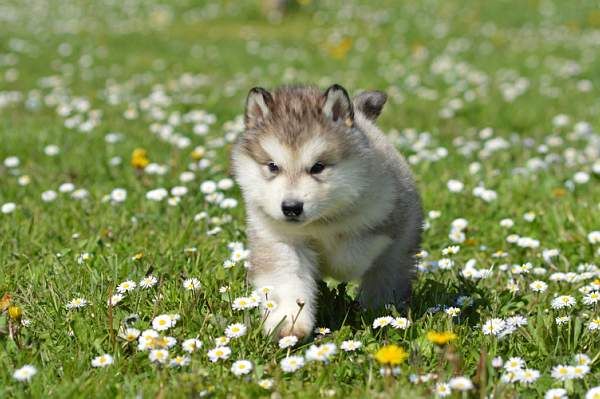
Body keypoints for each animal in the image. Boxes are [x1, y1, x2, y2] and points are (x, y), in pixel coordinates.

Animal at [230, 84, 422, 340]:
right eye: (272, 166)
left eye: (318, 167)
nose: (291, 207)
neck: (319, 222)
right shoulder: (279, 241)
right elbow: (287, 281)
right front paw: (289, 323)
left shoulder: (382, 220)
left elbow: (350, 256)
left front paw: (335, 264)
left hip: (398, 255)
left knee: (386, 277)